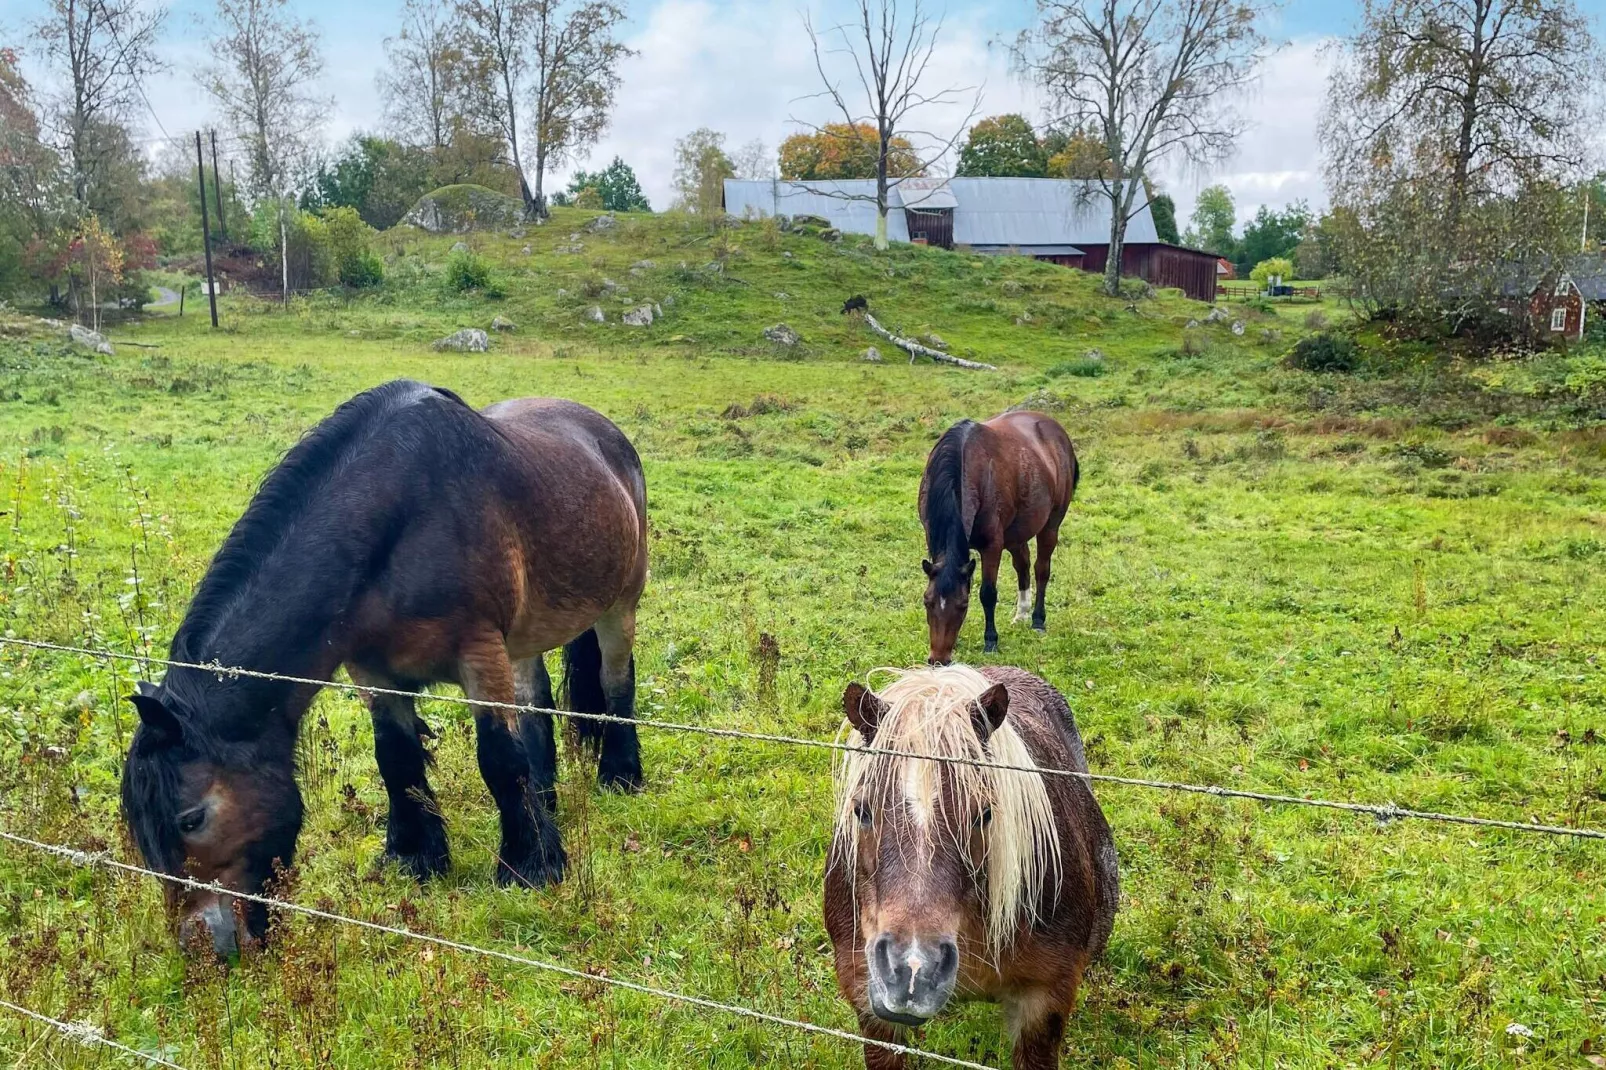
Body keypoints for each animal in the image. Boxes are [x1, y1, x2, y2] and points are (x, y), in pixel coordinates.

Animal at [118, 379, 648, 951]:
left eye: (191, 818)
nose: (202, 949)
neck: (399, 516)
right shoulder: (372, 670)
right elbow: (396, 758)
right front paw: (416, 857)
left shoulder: (480, 652)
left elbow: (500, 759)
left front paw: (531, 865)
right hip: (527, 635)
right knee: (535, 703)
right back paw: (546, 796)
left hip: (620, 606)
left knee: (615, 683)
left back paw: (621, 775)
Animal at [918, 406, 1079, 661]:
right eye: (927, 602)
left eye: (963, 605)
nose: (938, 659)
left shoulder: (992, 546)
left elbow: (988, 593)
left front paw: (991, 641)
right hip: (1016, 533)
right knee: (1023, 565)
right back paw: (1021, 614)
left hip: (1050, 526)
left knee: (1041, 570)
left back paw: (1037, 620)